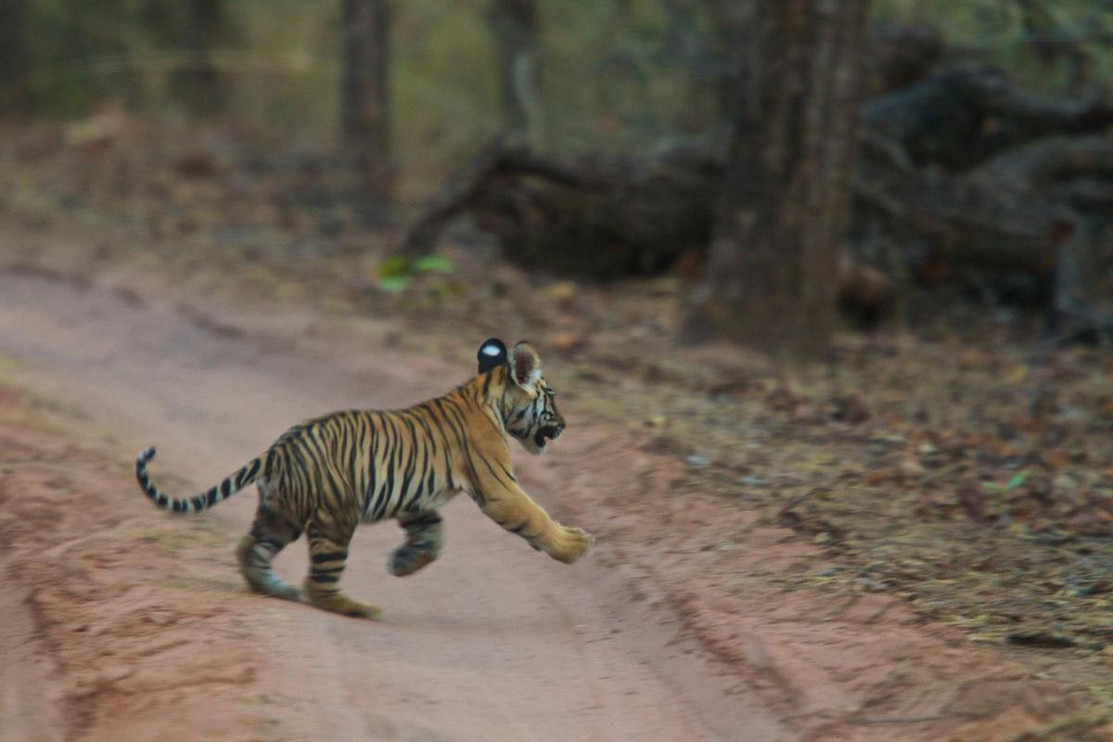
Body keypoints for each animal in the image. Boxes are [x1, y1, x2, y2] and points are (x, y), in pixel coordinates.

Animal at [134, 338, 593, 619]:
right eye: (552, 397)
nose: (565, 426)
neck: (489, 395)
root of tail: (278, 447)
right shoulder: (498, 487)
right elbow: (535, 517)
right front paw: (575, 546)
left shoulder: (418, 500)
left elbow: (433, 538)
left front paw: (402, 564)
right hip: (336, 516)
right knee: (319, 583)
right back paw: (359, 608)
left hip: (281, 513)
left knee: (251, 547)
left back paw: (276, 589)